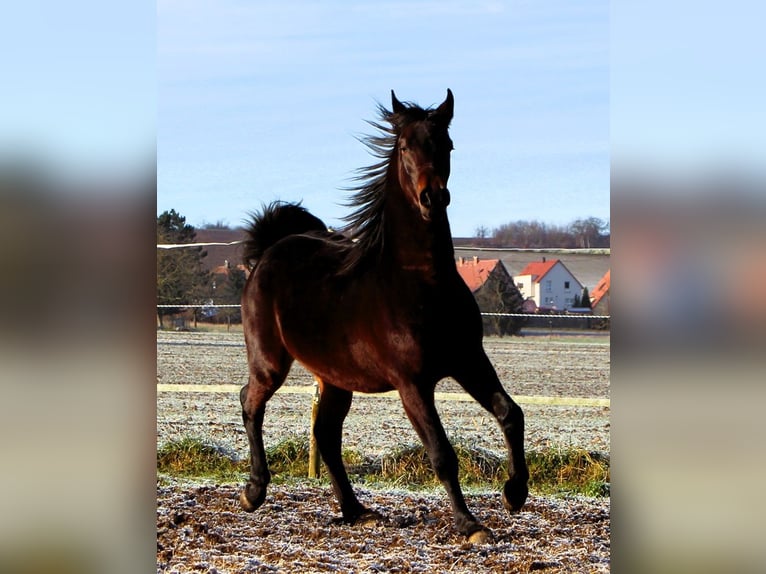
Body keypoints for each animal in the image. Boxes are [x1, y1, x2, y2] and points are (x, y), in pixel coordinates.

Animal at [240, 90, 528, 544]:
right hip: (270, 363)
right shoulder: (413, 383)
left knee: (326, 435)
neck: (421, 282)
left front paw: (514, 493)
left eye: (447, 145)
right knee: (250, 403)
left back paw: (356, 511)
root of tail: (271, 249)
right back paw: (254, 491)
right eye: (406, 147)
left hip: (336, 378)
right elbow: (441, 453)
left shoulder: (468, 360)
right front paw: (470, 525)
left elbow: (510, 413)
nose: (433, 198)